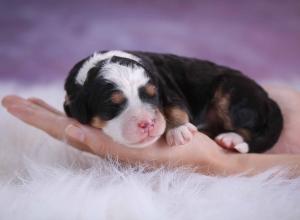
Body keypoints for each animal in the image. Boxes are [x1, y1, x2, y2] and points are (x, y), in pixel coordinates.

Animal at [63, 50, 284, 153]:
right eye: (112, 105)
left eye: (153, 96)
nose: (147, 123)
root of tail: (267, 97)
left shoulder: (167, 87)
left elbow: (174, 107)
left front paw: (179, 130)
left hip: (231, 91)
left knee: (249, 128)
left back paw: (230, 138)